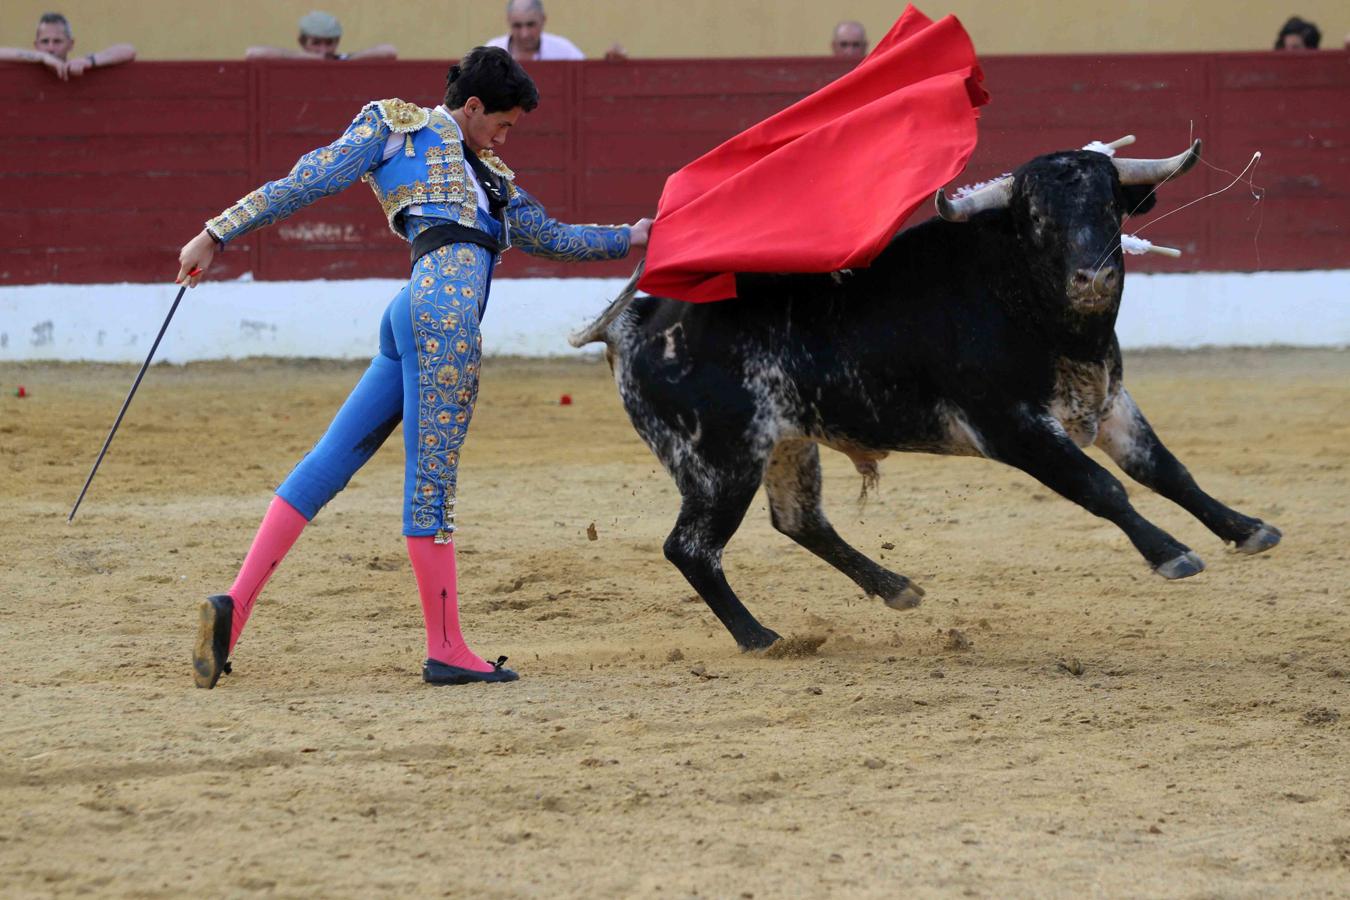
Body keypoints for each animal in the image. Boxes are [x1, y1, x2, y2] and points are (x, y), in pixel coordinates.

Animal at [575, 141, 1279, 650]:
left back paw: (895, 588)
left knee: (799, 521)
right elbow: (1101, 487)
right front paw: (1172, 555)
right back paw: (760, 637)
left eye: (1109, 207)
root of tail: (636, 320)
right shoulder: (1013, 427)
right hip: (719, 461)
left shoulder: (1108, 403)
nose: (1094, 277)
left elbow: (1166, 470)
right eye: (1037, 219)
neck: (1041, 313)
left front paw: (1247, 530)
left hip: (783, 444)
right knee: (691, 547)